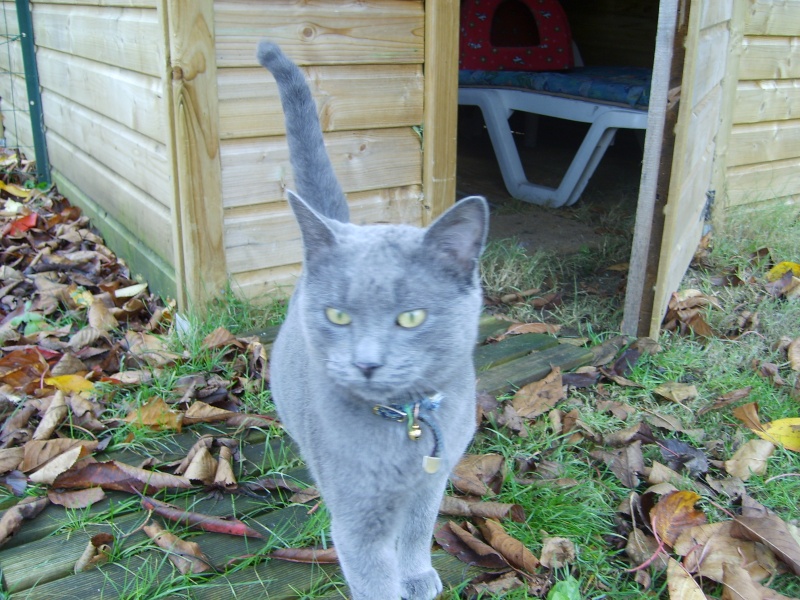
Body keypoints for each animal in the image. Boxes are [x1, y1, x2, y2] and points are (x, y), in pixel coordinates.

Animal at [256, 42, 488, 600]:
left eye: (411, 317)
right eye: (338, 314)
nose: (366, 363)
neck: (406, 425)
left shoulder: (432, 481)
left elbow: (419, 531)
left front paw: (418, 576)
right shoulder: (359, 519)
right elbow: (374, 575)